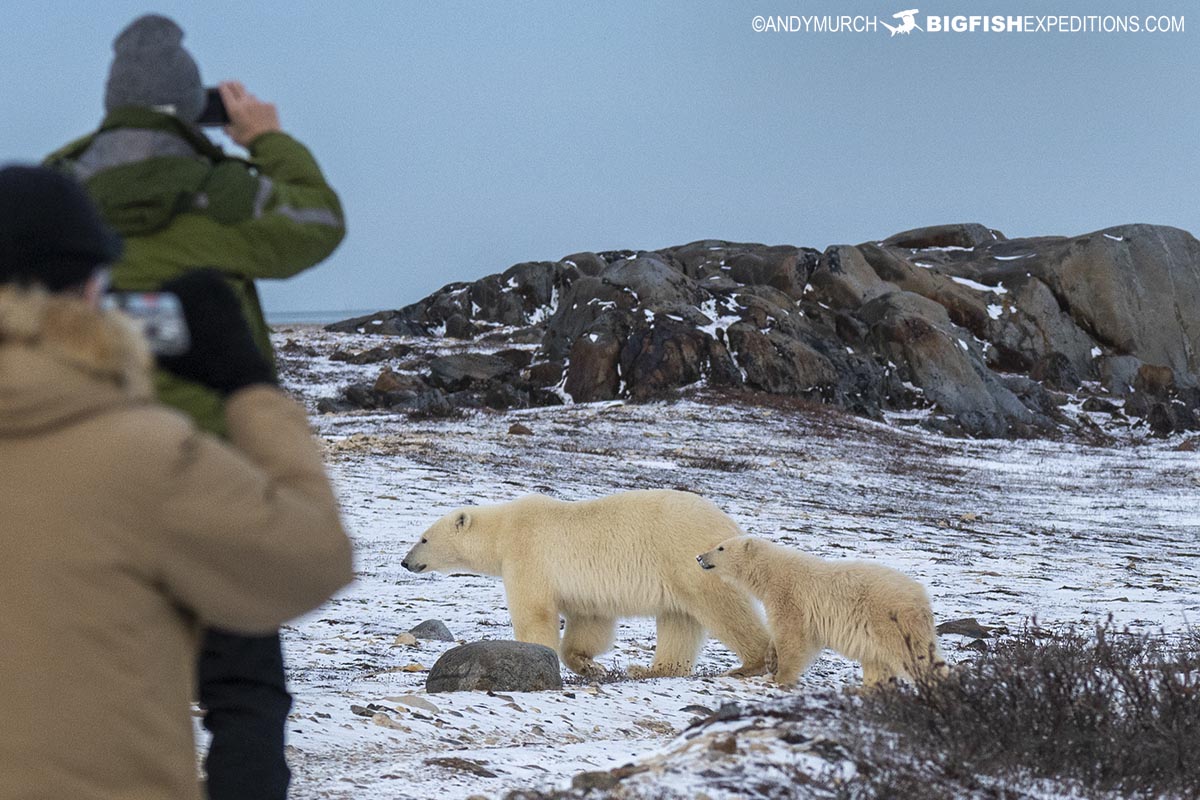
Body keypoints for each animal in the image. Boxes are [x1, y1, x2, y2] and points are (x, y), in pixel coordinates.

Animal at [403, 491, 768, 681]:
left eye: (424, 538)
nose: (406, 561)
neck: (503, 530)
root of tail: (731, 526)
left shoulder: (527, 553)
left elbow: (534, 611)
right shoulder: (586, 593)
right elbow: (590, 621)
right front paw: (589, 665)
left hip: (690, 558)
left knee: (722, 607)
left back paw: (751, 662)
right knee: (679, 620)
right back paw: (650, 669)